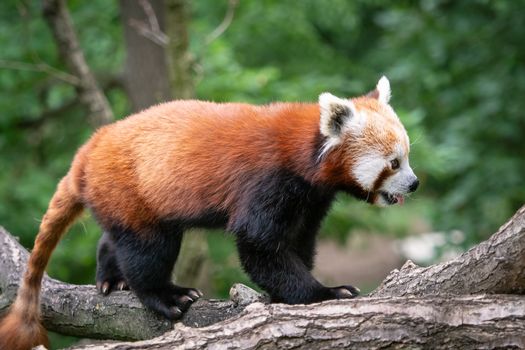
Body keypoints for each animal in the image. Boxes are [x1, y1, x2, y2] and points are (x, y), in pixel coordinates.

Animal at [0, 75, 418, 348]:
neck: (304, 153)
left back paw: (110, 277)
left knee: (114, 236)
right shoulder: (267, 181)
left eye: (407, 157)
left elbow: (299, 241)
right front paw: (321, 293)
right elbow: (259, 246)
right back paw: (163, 295)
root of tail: (91, 147)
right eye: (394, 163)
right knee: (147, 249)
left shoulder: (310, 199)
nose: (414, 184)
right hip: (133, 189)